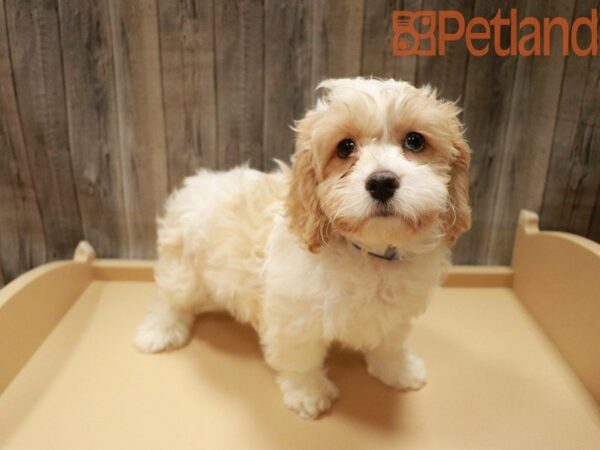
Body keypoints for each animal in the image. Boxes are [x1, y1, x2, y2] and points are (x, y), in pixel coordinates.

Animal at [134, 76, 472, 418]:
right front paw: (308, 394)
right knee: (168, 299)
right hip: (182, 268)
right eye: (345, 147)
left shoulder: (395, 315)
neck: (368, 253)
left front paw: (398, 371)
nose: (381, 182)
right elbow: (301, 359)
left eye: (415, 141)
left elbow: (389, 344)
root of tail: (198, 181)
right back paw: (159, 331)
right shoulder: (294, 319)